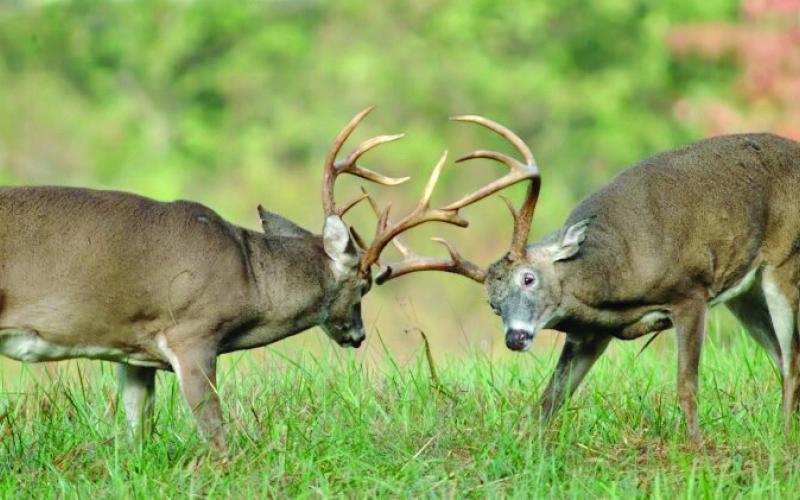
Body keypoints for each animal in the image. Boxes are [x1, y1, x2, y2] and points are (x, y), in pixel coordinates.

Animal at [0, 107, 492, 452]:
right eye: (364, 285)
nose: (357, 335)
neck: (249, 274)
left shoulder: (133, 351)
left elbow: (136, 435)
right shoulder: (192, 332)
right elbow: (218, 438)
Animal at [372, 115, 800, 442]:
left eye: (528, 278)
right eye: (493, 306)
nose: (515, 337)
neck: (615, 281)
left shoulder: (690, 292)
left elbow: (686, 386)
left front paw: (695, 446)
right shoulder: (591, 332)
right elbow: (549, 399)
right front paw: (525, 445)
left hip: (783, 264)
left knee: (791, 359)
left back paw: (783, 437)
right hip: (743, 294)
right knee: (781, 356)